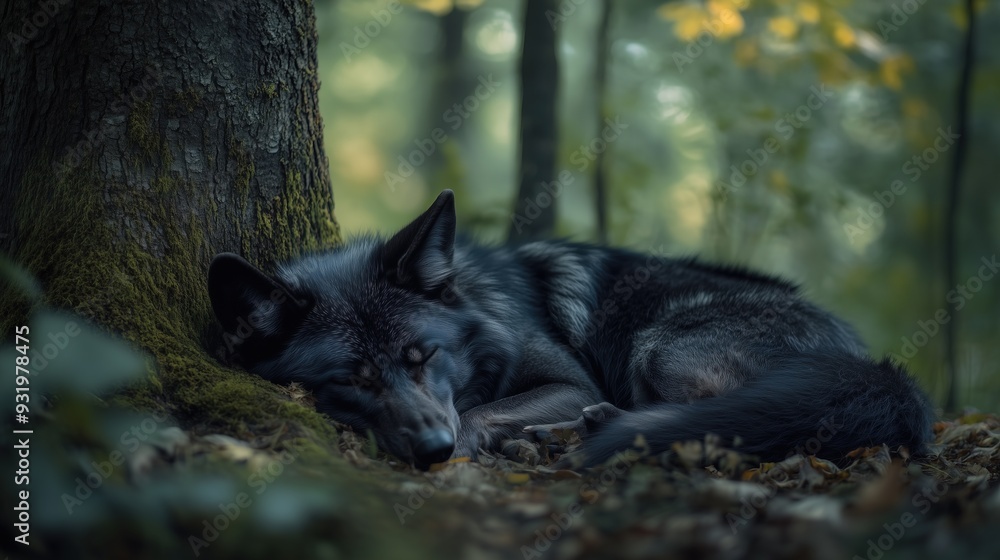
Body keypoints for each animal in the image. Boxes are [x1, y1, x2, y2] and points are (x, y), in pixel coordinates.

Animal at [208, 190, 933, 470]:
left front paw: (484, 439)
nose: (434, 451)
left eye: (423, 356)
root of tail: (877, 368)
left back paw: (575, 433)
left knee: (712, 420)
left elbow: (481, 412)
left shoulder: (569, 379)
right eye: (350, 380)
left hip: (660, 343)